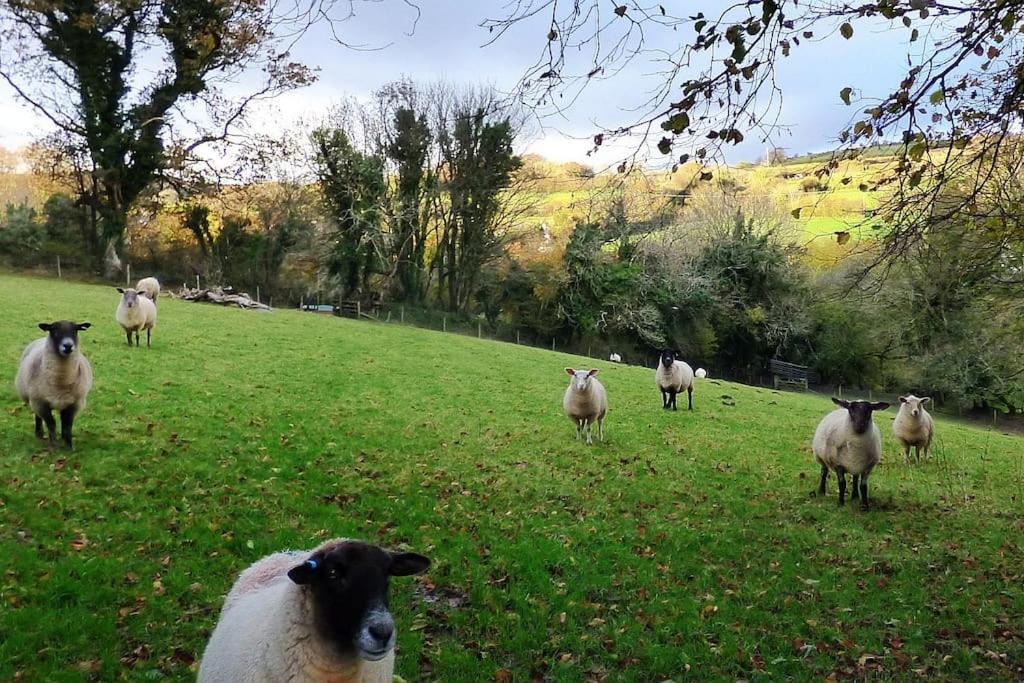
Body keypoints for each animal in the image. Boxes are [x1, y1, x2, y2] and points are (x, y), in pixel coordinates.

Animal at [14, 321, 93, 450]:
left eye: (75, 330)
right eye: (54, 330)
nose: (68, 346)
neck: (61, 382)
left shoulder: (74, 404)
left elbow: (67, 425)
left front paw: (69, 447)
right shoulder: (41, 403)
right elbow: (51, 424)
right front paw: (54, 446)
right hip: (33, 400)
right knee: (38, 417)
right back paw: (39, 433)